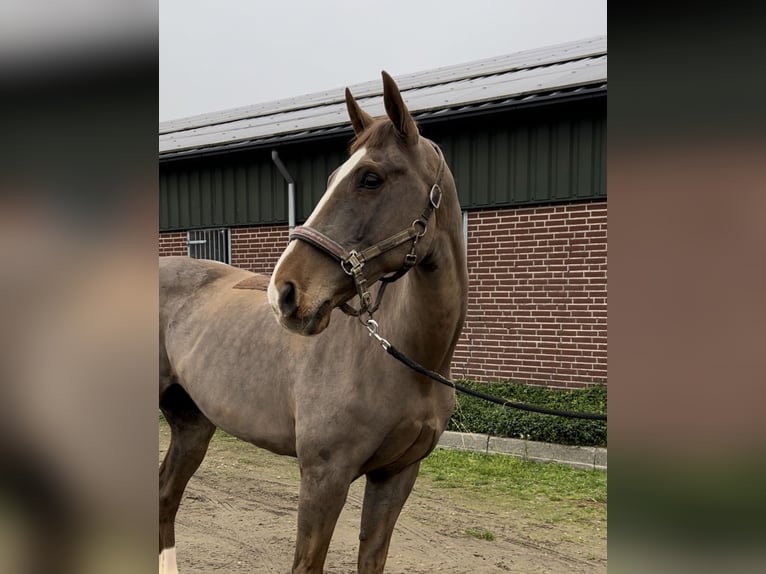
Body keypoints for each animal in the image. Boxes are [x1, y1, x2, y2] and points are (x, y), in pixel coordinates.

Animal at [160, 72, 472, 574]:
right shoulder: (324, 477)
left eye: (370, 178)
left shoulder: (396, 476)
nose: (284, 293)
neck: (408, 362)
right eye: (331, 179)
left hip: (193, 425)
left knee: (166, 498)